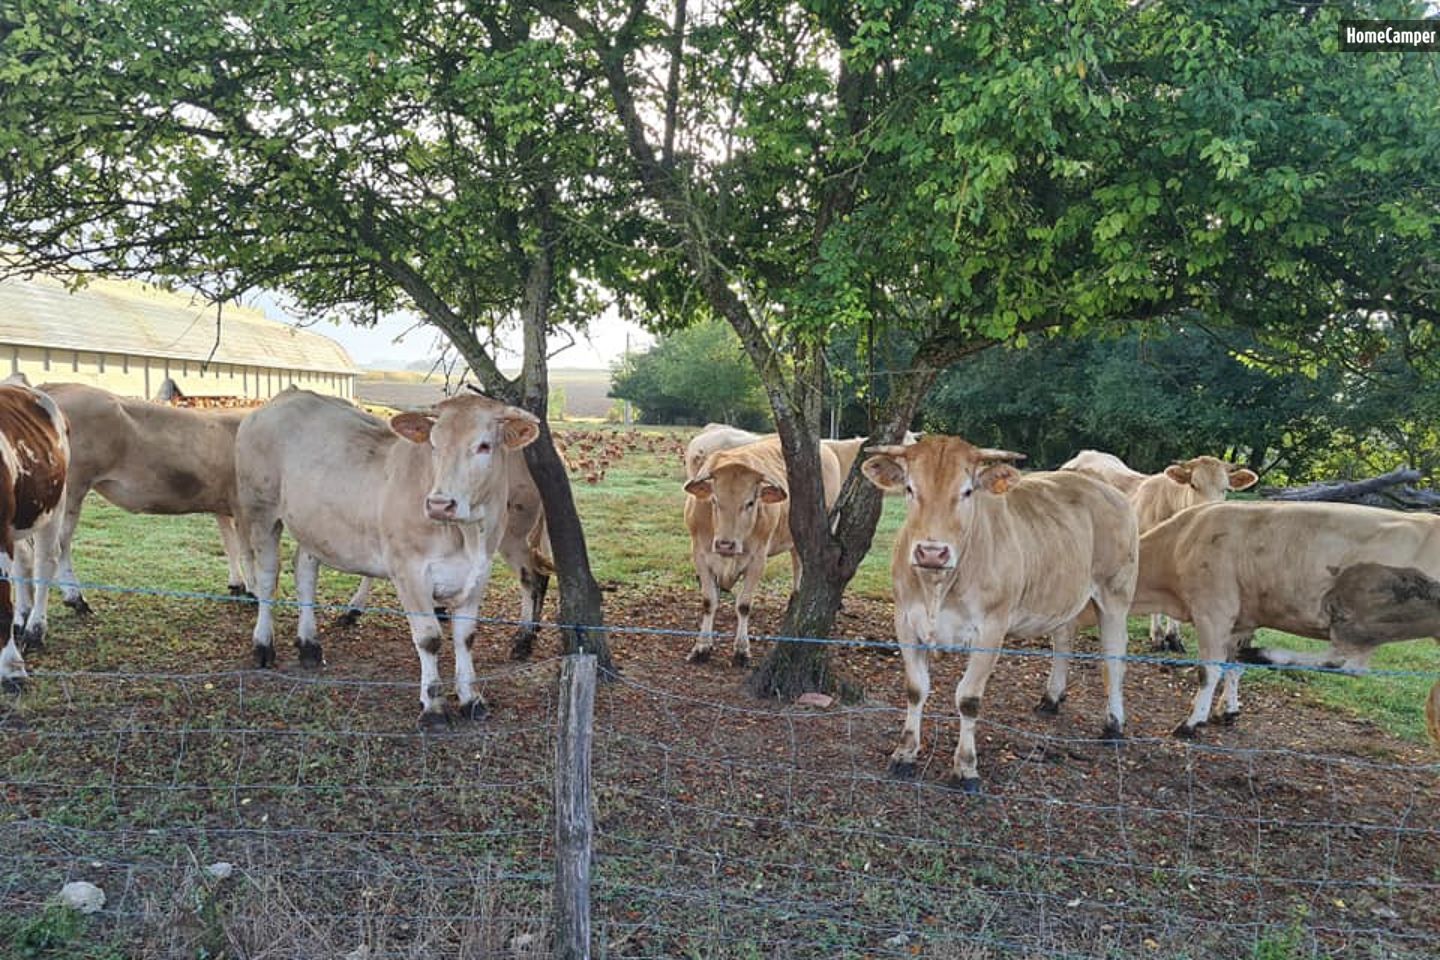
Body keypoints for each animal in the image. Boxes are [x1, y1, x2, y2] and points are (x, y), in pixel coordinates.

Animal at [235, 388, 540, 726]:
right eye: (434, 444)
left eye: (484, 445)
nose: (439, 504)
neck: (468, 536)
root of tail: (287, 395)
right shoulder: (409, 572)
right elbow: (429, 638)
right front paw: (433, 709)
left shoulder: (478, 573)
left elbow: (466, 637)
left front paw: (471, 699)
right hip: (259, 510)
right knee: (267, 577)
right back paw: (263, 645)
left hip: (313, 525)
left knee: (304, 572)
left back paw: (309, 646)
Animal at [682, 435, 842, 666]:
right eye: (714, 500)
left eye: (750, 502)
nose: (725, 544)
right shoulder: (701, 555)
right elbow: (709, 601)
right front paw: (702, 647)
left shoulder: (757, 559)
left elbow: (744, 605)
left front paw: (741, 650)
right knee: (798, 560)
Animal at [862, 436, 1138, 792]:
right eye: (910, 487)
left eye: (967, 491)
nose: (932, 552)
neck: (938, 586)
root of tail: (1104, 487)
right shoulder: (906, 621)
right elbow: (915, 689)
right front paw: (905, 754)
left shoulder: (991, 629)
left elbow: (968, 698)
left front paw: (966, 768)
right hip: (1063, 592)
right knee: (1064, 638)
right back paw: (1051, 698)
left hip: (1116, 592)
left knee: (1114, 658)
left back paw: (1114, 725)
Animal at [1125, 500, 1440, 737]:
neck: (1180, 543)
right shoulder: (1244, 620)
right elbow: (1232, 665)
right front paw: (1228, 709)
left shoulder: (1214, 610)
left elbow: (1209, 670)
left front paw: (1192, 721)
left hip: (1361, 620)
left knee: (1347, 664)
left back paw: (1265, 654)